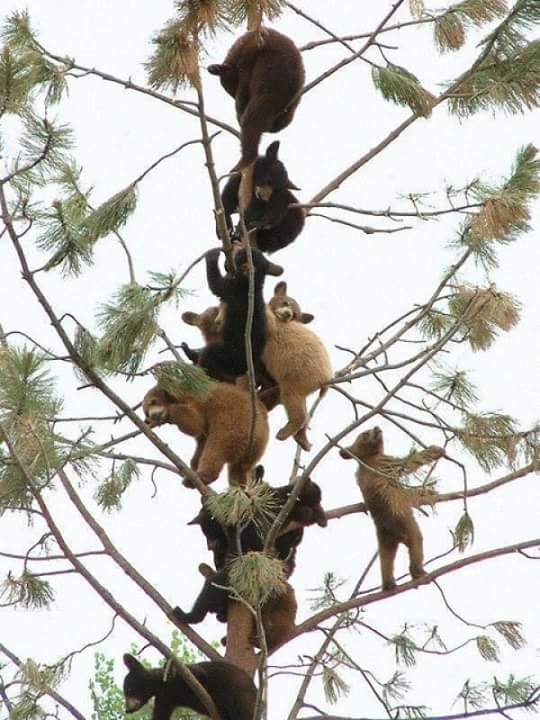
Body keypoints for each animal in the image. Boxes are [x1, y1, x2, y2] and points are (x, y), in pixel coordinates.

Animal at [122, 653, 256, 720]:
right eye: (125, 693)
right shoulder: (164, 700)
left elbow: (199, 673)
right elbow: (159, 717)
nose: (127, 710)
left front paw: (169, 666)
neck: (162, 686)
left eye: (129, 689)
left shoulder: (187, 674)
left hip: (241, 696)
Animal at [198, 247, 283, 382]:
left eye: (239, 256)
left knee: (209, 355)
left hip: (227, 356)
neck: (254, 284)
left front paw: (213, 255)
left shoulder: (230, 288)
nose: (238, 250)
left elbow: (215, 283)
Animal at [262, 281, 333, 451]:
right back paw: (303, 440)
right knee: (305, 410)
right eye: (285, 302)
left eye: (295, 314)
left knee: (294, 405)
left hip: (297, 377)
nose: (287, 314)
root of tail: (327, 378)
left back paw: (285, 432)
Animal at [339, 426, 444, 590]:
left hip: (383, 541)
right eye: (365, 433)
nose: (377, 427)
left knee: (386, 560)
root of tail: (395, 535)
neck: (366, 459)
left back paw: (388, 584)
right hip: (409, 527)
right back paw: (419, 573)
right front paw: (435, 450)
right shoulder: (387, 463)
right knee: (417, 544)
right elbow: (410, 462)